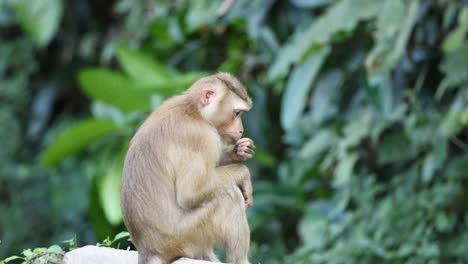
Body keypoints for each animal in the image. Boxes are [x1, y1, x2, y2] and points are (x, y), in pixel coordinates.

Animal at [119, 72, 254, 264]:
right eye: (237, 113)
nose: (241, 130)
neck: (194, 111)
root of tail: (148, 249)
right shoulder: (201, 136)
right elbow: (190, 193)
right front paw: (243, 172)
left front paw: (239, 151)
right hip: (183, 238)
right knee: (228, 197)